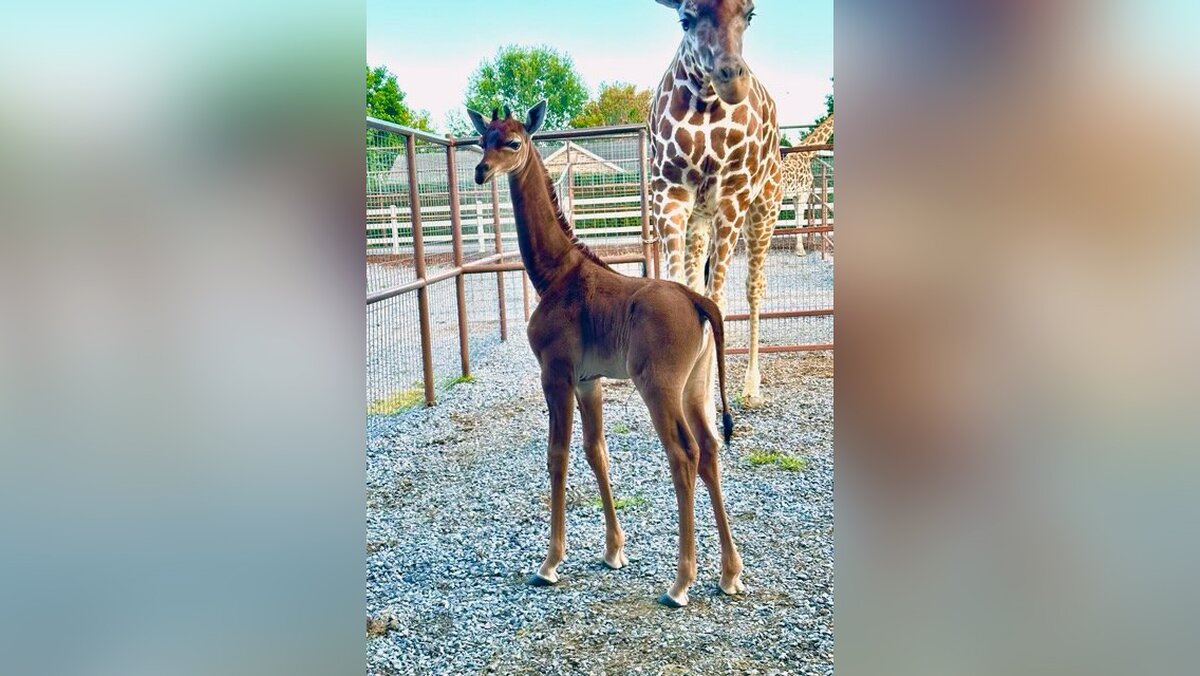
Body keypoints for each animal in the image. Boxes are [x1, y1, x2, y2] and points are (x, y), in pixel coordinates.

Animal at [470, 103, 744, 609]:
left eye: (513, 142)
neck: (554, 274)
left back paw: (680, 584)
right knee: (711, 449)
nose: (481, 171)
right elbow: (596, 451)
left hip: (659, 387)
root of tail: (698, 300)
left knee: (684, 454)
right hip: (696, 387)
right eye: (483, 140)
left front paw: (550, 563)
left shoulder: (556, 374)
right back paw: (729, 574)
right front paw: (614, 551)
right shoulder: (588, 380)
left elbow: (557, 454)